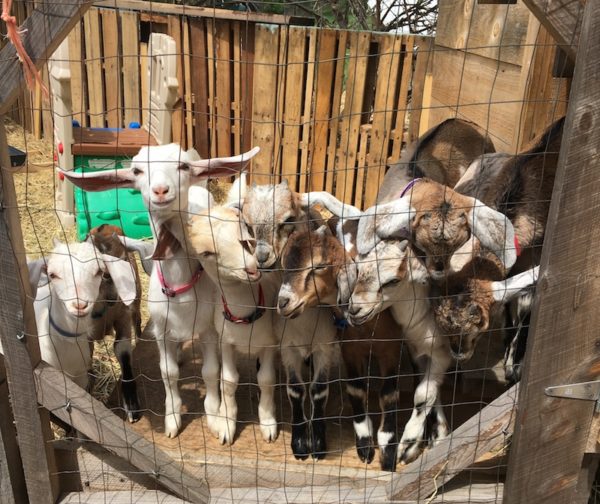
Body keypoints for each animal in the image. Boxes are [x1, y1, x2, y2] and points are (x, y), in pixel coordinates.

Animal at [61, 142, 260, 438]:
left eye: (183, 166)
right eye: (136, 170)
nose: (161, 190)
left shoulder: (209, 328)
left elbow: (210, 371)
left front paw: (214, 415)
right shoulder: (163, 329)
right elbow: (168, 373)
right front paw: (173, 419)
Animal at [278, 222, 406, 470]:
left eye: (319, 265)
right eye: (283, 263)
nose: (283, 302)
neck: (369, 326)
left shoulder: (391, 348)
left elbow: (389, 394)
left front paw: (388, 450)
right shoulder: (349, 349)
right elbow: (355, 389)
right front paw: (364, 443)